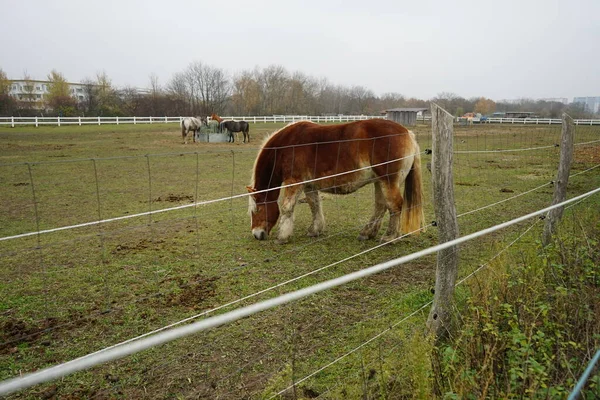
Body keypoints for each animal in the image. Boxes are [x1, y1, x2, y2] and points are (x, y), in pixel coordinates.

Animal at [246, 119, 424, 244]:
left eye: (257, 209)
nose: (257, 234)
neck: (285, 146)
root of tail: (408, 133)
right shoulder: (309, 185)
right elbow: (314, 205)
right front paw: (315, 230)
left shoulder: (294, 182)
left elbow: (287, 208)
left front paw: (282, 237)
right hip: (379, 181)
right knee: (381, 206)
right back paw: (367, 233)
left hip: (388, 181)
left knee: (395, 205)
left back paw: (389, 237)